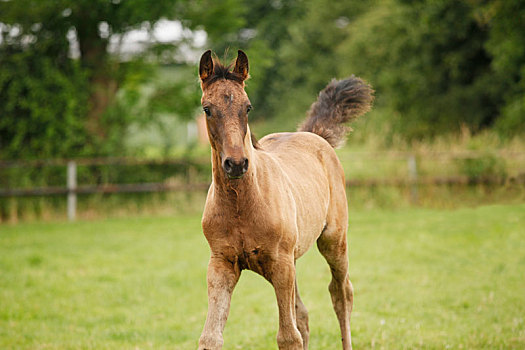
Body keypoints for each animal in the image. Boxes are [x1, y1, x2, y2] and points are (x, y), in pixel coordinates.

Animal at [196, 50, 372, 350]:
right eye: (207, 108)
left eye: (248, 107)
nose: (236, 163)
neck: (242, 204)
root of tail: (314, 135)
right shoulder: (221, 264)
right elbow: (211, 337)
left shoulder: (281, 264)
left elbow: (288, 336)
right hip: (294, 258)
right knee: (303, 313)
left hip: (333, 240)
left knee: (341, 294)